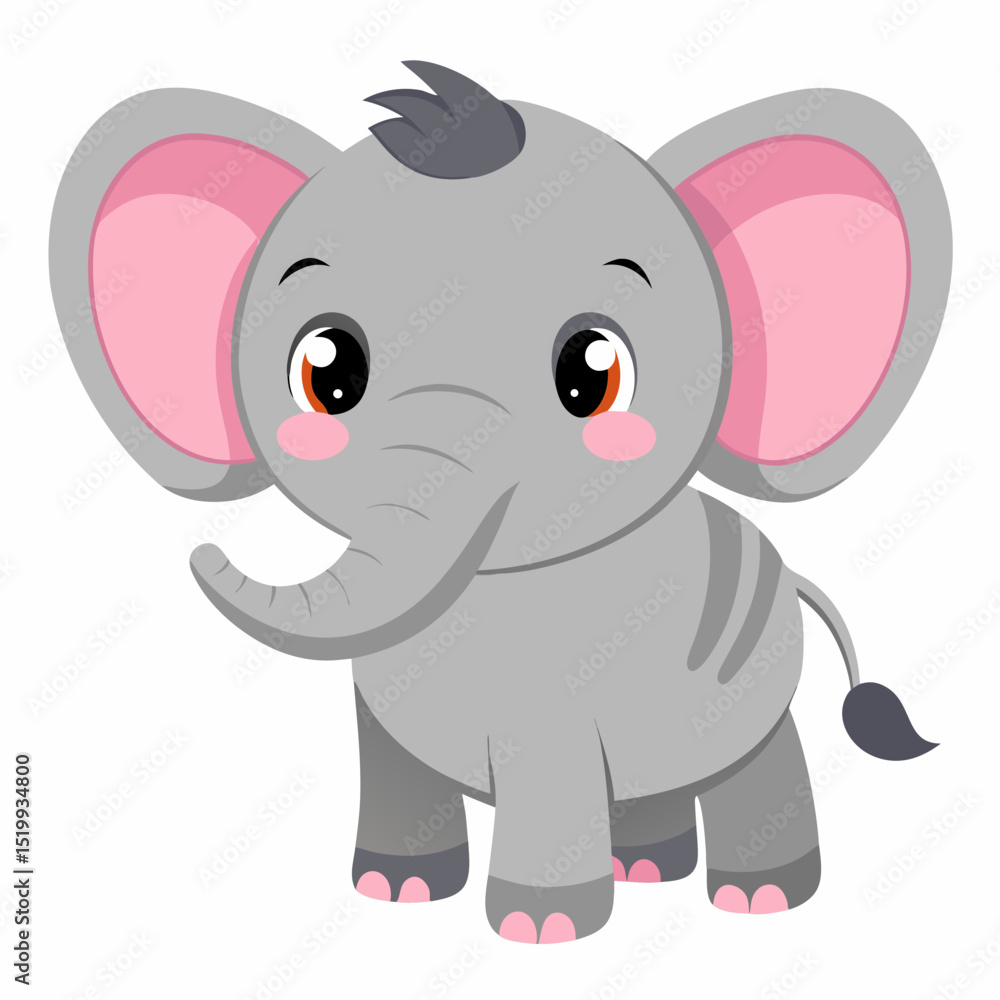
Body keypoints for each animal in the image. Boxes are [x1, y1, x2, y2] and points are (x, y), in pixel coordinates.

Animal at [50, 61, 950, 944]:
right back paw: (647, 869)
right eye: (327, 371)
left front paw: (538, 927)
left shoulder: (561, 699)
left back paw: (756, 899)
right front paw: (397, 889)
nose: (203, 550)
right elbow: (392, 761)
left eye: (592, 373)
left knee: (757, 758)